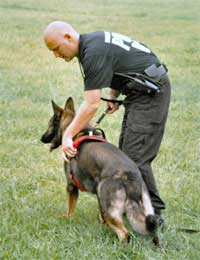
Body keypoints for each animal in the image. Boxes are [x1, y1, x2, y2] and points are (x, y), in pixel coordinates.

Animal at [41, 97, 159, 244]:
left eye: (49, 123)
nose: (41, 138)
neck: (75, 132)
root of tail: (130, 175)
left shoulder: (71, 187)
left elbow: (70, 208)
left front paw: (66, 220)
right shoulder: (98, 197)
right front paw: (101, 225)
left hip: (109, 208)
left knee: (124, 234)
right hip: (145, 209)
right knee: (152, 229)